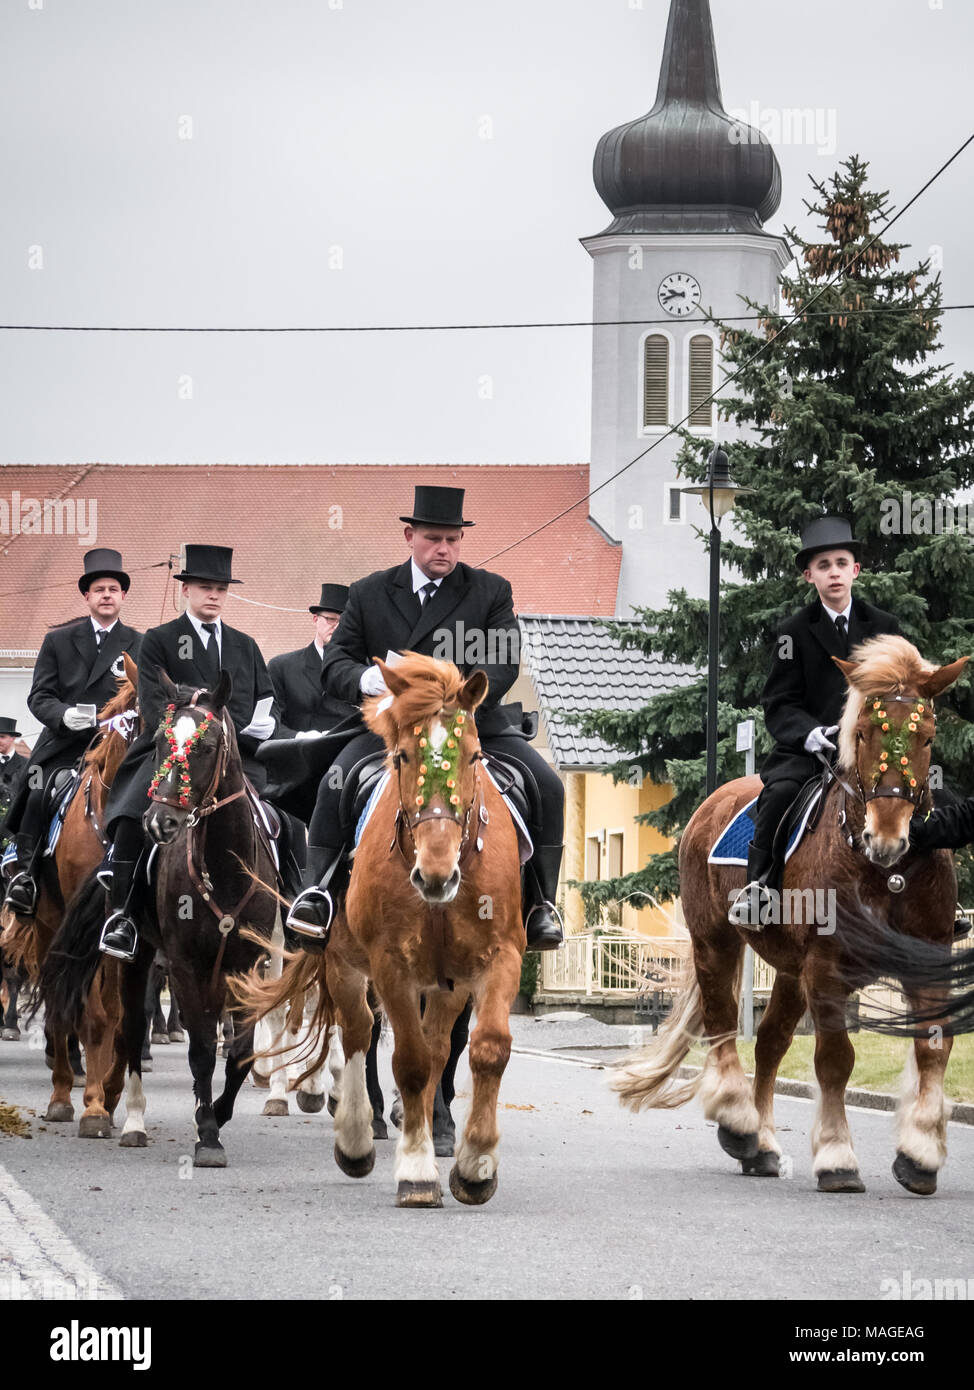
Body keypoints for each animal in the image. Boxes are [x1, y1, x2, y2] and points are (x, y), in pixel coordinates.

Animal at [3, 656, 139, 1134]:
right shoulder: (73, 929)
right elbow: (90, 1014)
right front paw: (93, 1105)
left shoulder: (119, 932)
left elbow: (118, 1015)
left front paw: (108, 1098)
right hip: (47, 924)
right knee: (59, 1002)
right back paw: (62, 1094)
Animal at [232, 650, 525, 1206]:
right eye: (403, 757)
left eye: (474, 756)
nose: (436, 875)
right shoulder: (390, 965)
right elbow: (407, 1062)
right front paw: (416, 1171)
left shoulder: (496, 959)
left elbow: (487, 1049)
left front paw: (476, 1164)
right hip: (342, 962)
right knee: (357, 1031)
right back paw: (355, 1135)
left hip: (446, 982)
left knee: (437, 1047)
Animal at [608, 639, 972, 1195]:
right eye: (861, 732)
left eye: (927, 737)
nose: (886, 838)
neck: (885, 873)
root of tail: (713, 801)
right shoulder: (826, 967)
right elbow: (835, 1059)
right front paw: (838, 1157)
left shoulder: (927, 962)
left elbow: (935, 1048)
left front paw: (920, 1154)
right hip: (716, 942)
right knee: (722, 1025)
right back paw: (738, 1121)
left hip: (787, 969)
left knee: (771, 1043)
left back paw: (761, 1145)